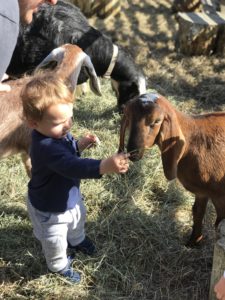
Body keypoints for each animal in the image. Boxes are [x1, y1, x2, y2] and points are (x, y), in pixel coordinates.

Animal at [119, 93, 225, 246]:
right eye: (128, 116)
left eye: (156, 121)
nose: (133, 152)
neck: (191, 144)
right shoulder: (202, 192)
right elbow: (197, 213)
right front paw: (193, 242)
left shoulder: (220, 196)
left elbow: (218, 223)